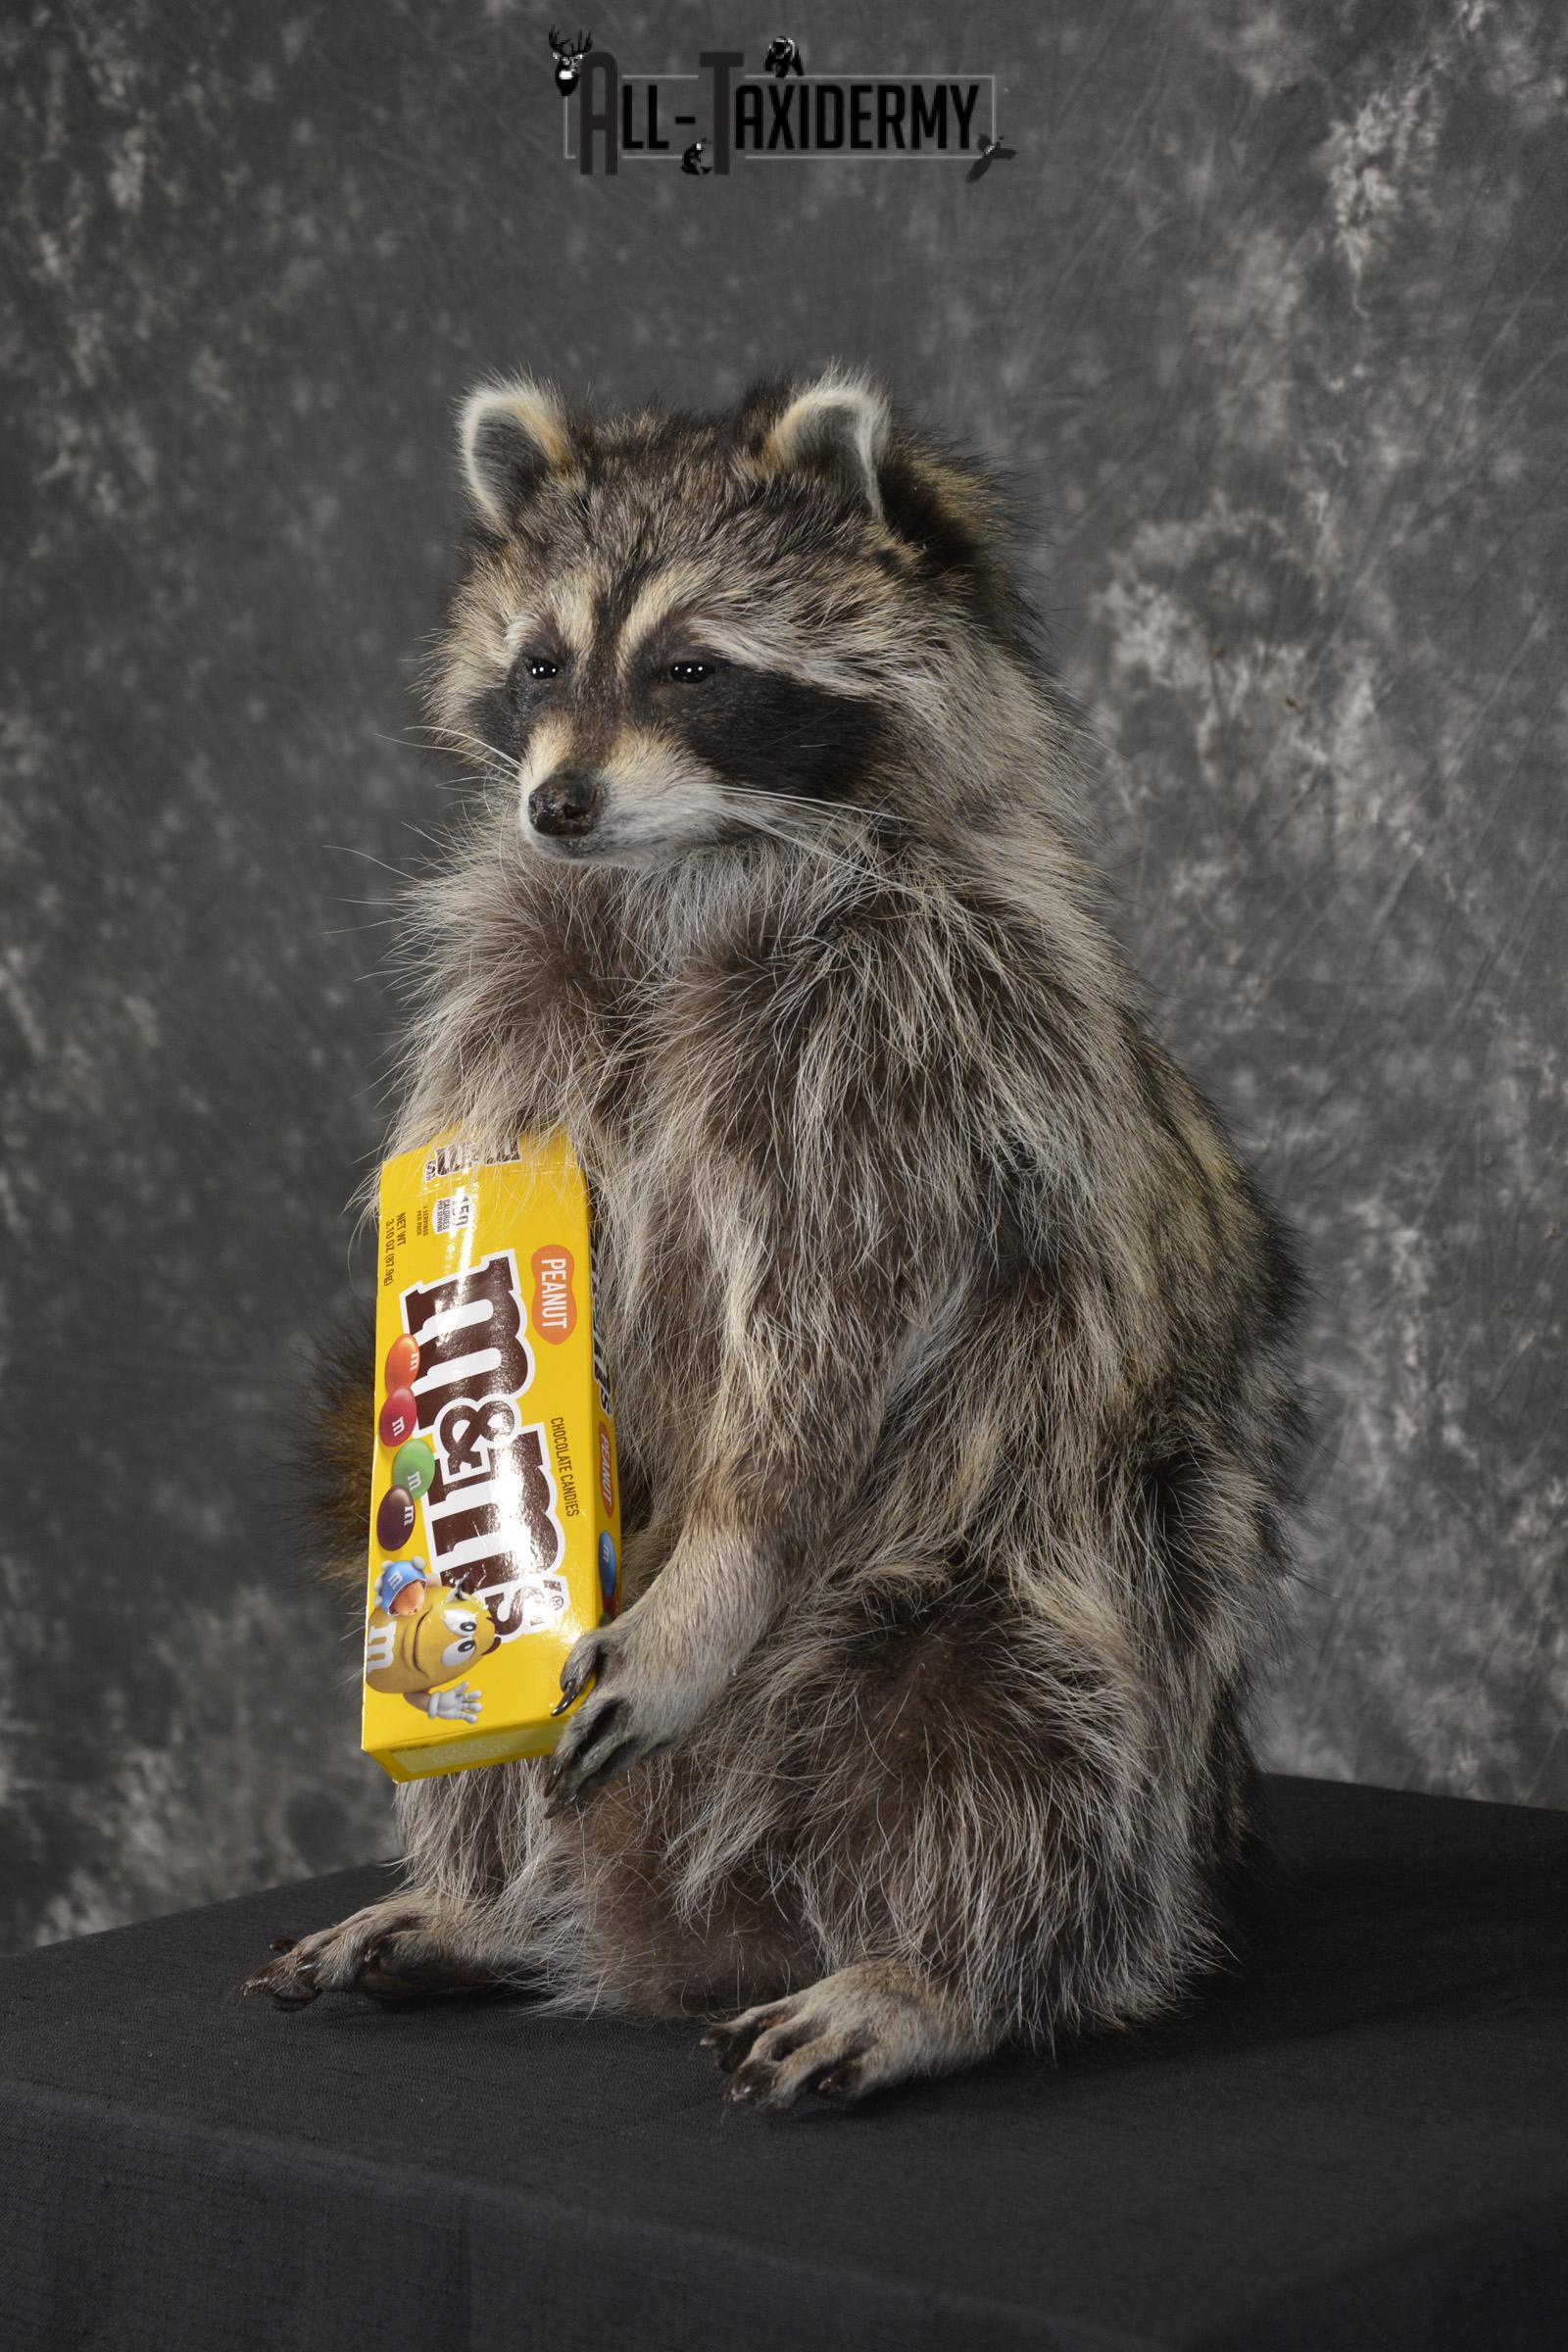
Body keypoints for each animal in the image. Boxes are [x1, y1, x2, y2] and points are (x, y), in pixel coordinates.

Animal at [246, 369, 1304, 2111]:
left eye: (692, 666)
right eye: (542, 662)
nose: (557, 803)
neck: (682, 868)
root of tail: (699, 1931)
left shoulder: (918, 1043)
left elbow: (834, 1323)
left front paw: (725, 1554)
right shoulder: (518, 1016)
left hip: (1066, 1548)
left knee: (1033, 1727)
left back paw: (947, 1971)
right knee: (493, 1761)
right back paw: (488, 1898)